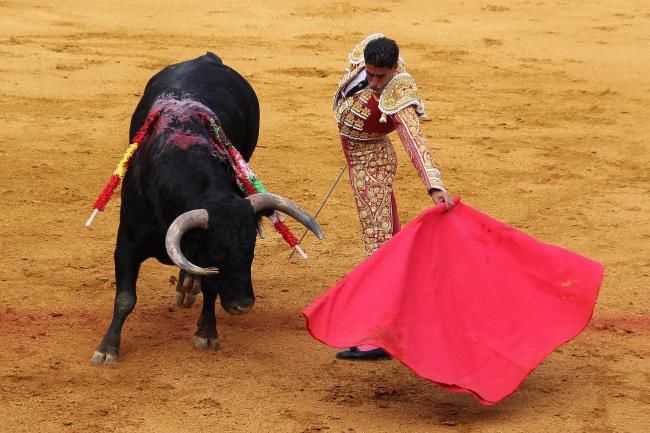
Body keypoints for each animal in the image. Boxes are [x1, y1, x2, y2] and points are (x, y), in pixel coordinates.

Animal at [92, 53, 322, 364]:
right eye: (217, 251)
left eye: (251, 249)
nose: (243, 305)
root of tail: (207, 58)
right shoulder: (127, 245)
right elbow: (126, 298)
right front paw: (107, 348)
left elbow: (211, 289)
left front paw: (207, 332)